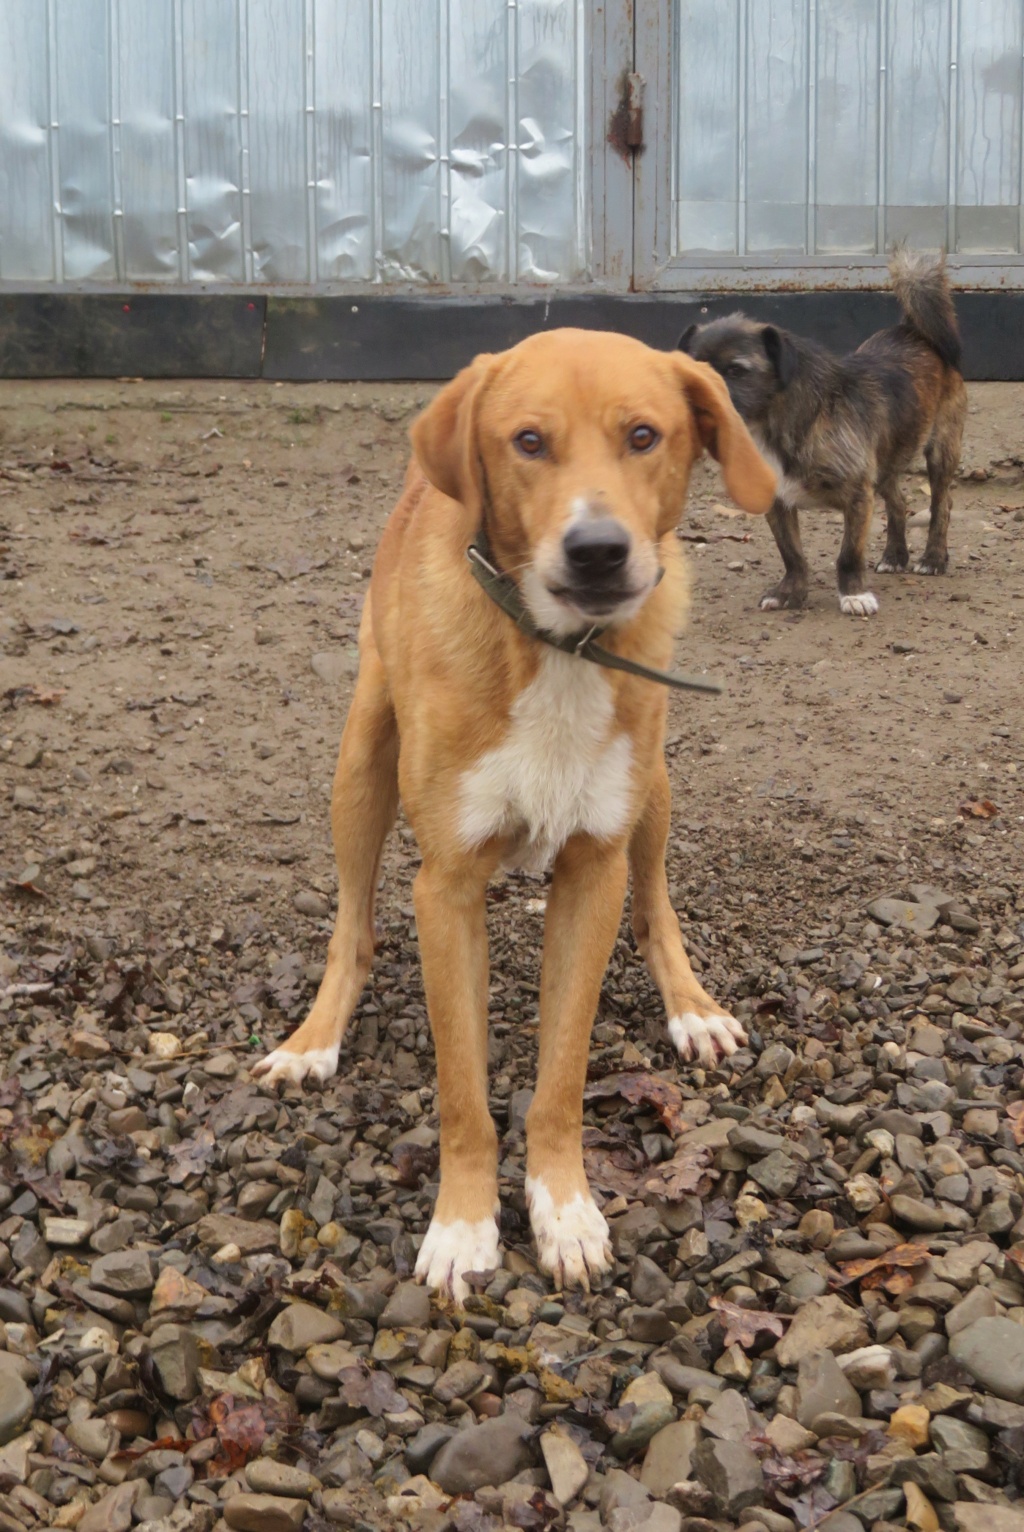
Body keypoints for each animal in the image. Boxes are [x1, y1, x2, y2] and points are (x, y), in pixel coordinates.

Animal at [256, 329, 775, 1299]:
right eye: (529, 442)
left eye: (644, 435)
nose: (599, 550)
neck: (555, 650)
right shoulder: (446, 888)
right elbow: (463, 1090)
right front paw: (463, 1226)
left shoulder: (594, 871)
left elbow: (562, 1075)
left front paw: (563, 1210)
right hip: (361, 762)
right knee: (353, 927)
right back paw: (315, 1038)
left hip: (654, 789)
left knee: (657, 908)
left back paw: (690, 1006)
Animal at [680, 248, 968, 612]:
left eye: (736, 371)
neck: (781, 426)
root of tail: (914, 330)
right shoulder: (779, 502)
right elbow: (792, 554)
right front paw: (789, 592)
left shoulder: (858, 497)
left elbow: (848, 554)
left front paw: (854, 594)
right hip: (886, 463)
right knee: (899, 502)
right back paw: (894, 555)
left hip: (941, 452)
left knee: (942, 504)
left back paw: (933, 558)